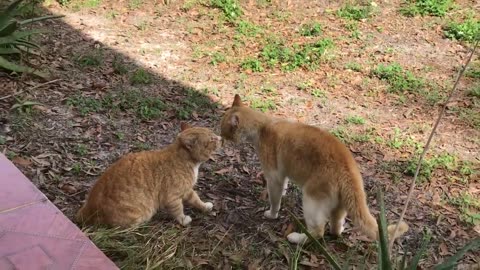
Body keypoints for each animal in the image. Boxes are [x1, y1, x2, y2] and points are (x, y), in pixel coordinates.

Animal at [76, 123, 222, 227]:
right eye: (212, 139)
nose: (220, 138)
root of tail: (88, 209)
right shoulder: (172, 197)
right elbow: (178, 210)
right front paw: (183, 220)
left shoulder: (187, 190)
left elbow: (196, 199)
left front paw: (205, 206)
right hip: (140, 215)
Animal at [219, 95, 406, 245]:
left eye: (223, 129)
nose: (220, 137)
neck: (263, 126)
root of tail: (348, 167)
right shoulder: (283, 175)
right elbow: (284, 188)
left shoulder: (274, 177)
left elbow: (275, 200)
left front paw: (272, 214)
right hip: (339, 206)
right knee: (335, 225)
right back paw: (338, 231)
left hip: (310, 200)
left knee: (318, 232)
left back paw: (296, 238)